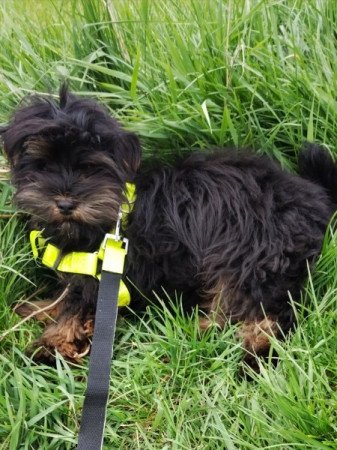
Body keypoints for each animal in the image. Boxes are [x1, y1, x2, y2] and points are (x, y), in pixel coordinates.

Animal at [1, 87, 334, 366]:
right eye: (43, 166)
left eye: (90, 169)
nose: (66, 203)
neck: (112, 210)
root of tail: (315, 198)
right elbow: (67, 294)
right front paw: (41, 309)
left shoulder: (103, 276)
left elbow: (77, 303)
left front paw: (50, 345)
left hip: (251, 253)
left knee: (262, 312)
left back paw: (217, 339)